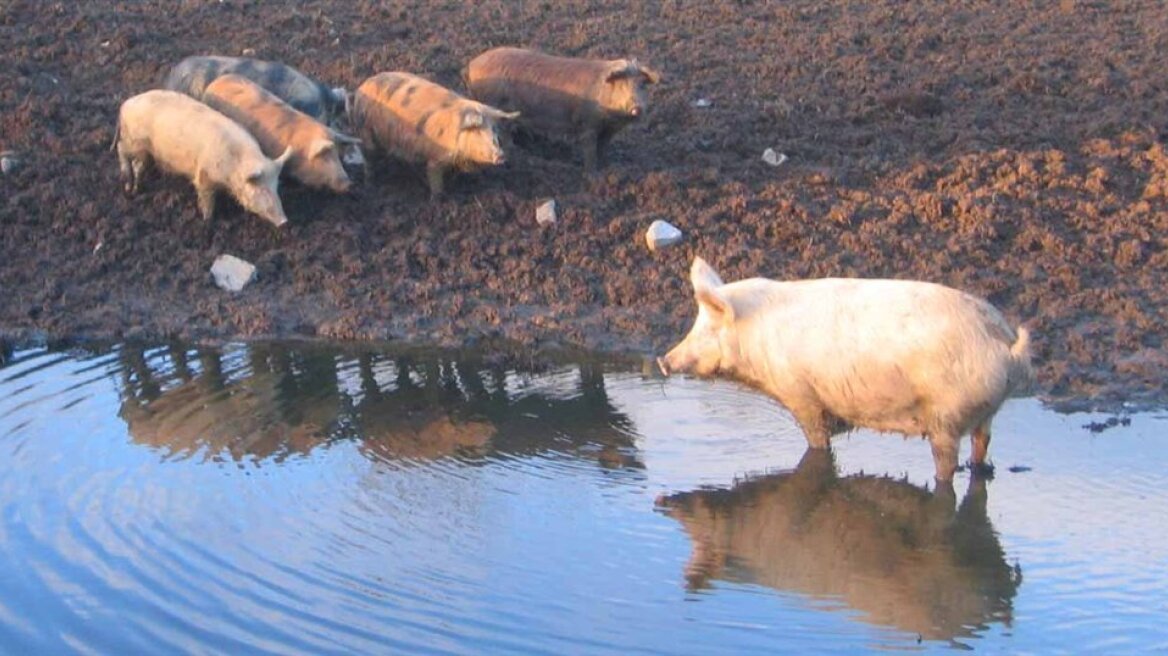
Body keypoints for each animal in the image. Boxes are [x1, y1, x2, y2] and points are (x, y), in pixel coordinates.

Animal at [345, 72, 520, 196]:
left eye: (493, 131)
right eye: (477, 131)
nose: (500, 155)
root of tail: (361, 88)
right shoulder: (435, 157)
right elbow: (434, 177)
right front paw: (439, 198)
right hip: (365, 133)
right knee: (369, 161)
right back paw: (369, 185)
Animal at [462, 47, 663, 172]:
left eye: (642, 85)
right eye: (622, 85)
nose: (637, 108)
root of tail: (471, 65)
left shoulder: (609, 130)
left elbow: (604, 147)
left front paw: (608, 168)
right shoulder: (587, 123)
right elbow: (589, 149)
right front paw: (592, 175)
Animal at [663, 256, 1037, 480]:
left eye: (706, 328)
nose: (663, 360)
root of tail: (1006, 345)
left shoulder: (801, 394)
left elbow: (817, 439)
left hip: (947, 413)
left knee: (947, 464)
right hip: (984, 411)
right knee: (981, 443)